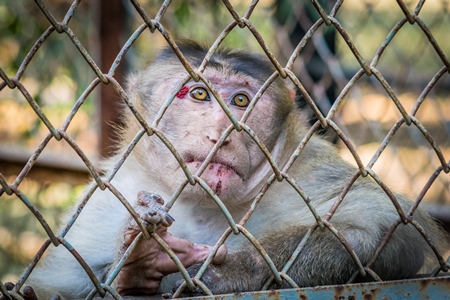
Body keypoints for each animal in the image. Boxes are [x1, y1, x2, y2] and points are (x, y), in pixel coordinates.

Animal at [22, 41, 450, 298]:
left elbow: (390, 225)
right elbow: (49, 287)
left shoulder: (305, 169)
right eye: (198, 93)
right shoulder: (108, 197)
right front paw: (136, 266)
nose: (223, 132)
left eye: (241, 101)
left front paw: (234, 270)